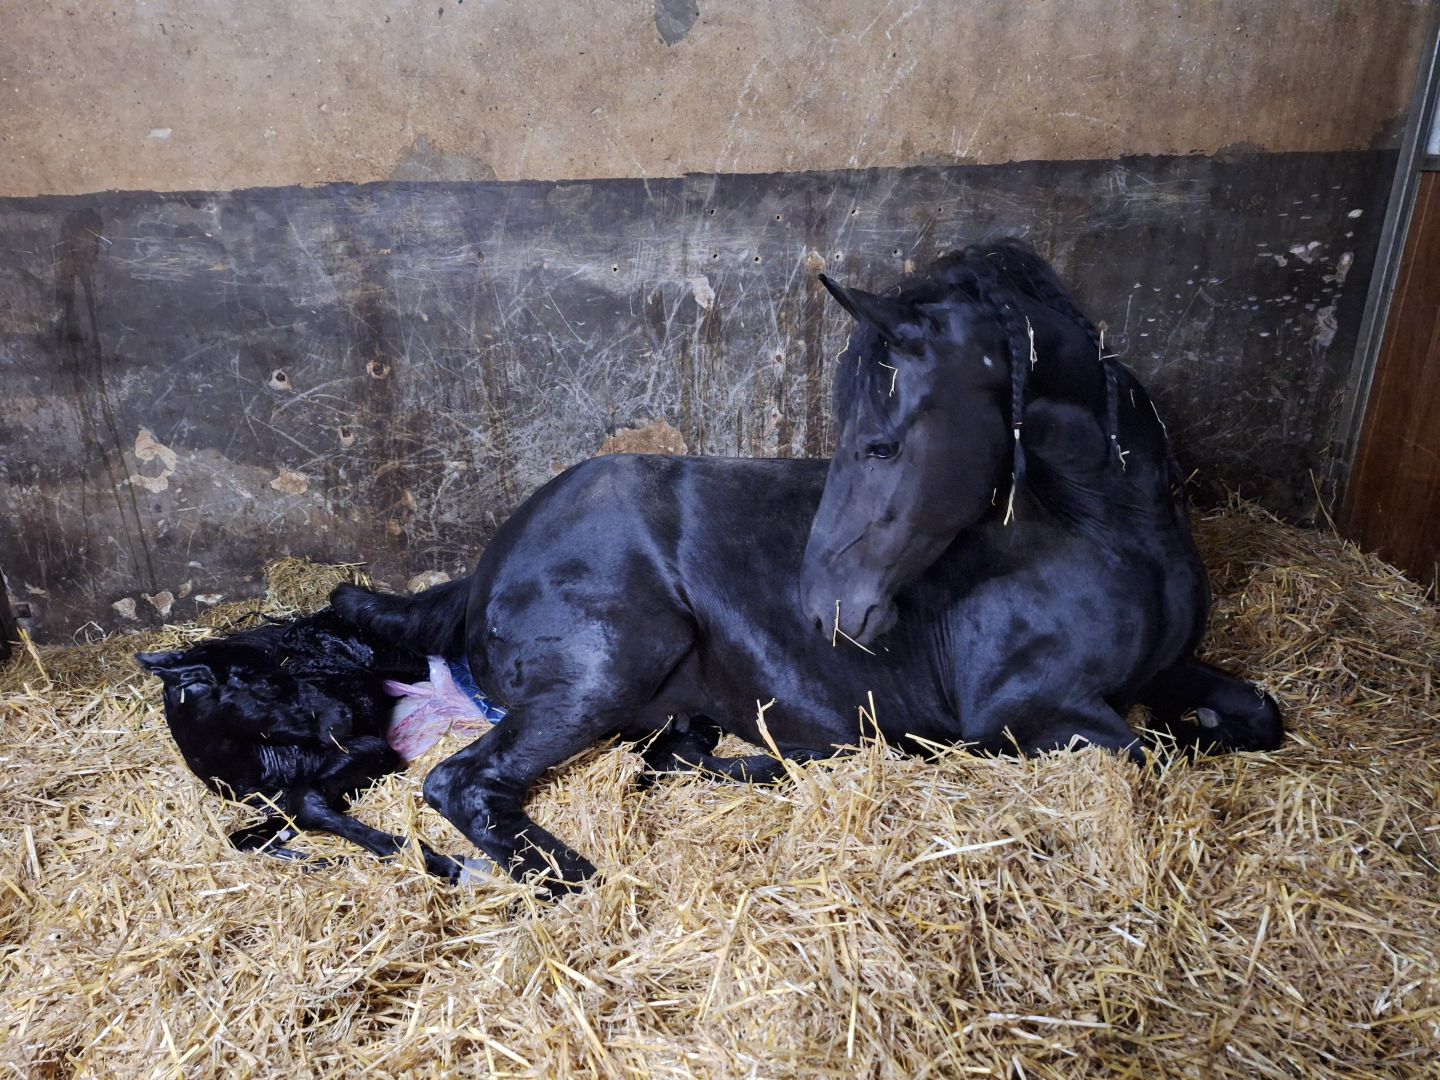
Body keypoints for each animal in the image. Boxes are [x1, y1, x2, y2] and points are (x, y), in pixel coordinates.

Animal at [333, 239, 1282, 897]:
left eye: (883, 441)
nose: (828, 606)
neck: (1106, 528)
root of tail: (491, 563)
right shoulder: (1025, 712)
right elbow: (1155, 754)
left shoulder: (1163, 669)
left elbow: (1255, 717)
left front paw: (1214, 722)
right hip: (607, 665)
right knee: (463, 783)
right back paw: (574, 877)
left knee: (666, 756)